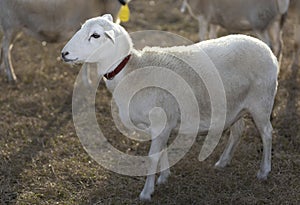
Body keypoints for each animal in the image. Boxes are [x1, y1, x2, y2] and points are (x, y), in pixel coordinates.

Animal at [61, 14, 278, 202]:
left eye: (95, 35)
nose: (64, 53)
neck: (132, 70)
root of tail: (268, 51)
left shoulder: (160, 121)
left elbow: (152, 157)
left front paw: (146, 192)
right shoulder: (158, 124)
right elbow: (162, 150)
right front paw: (164, 176)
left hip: (261, 101)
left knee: (267, 133)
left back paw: (264, 171)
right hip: (234, 106)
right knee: (238, 130)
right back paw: (223, 161)